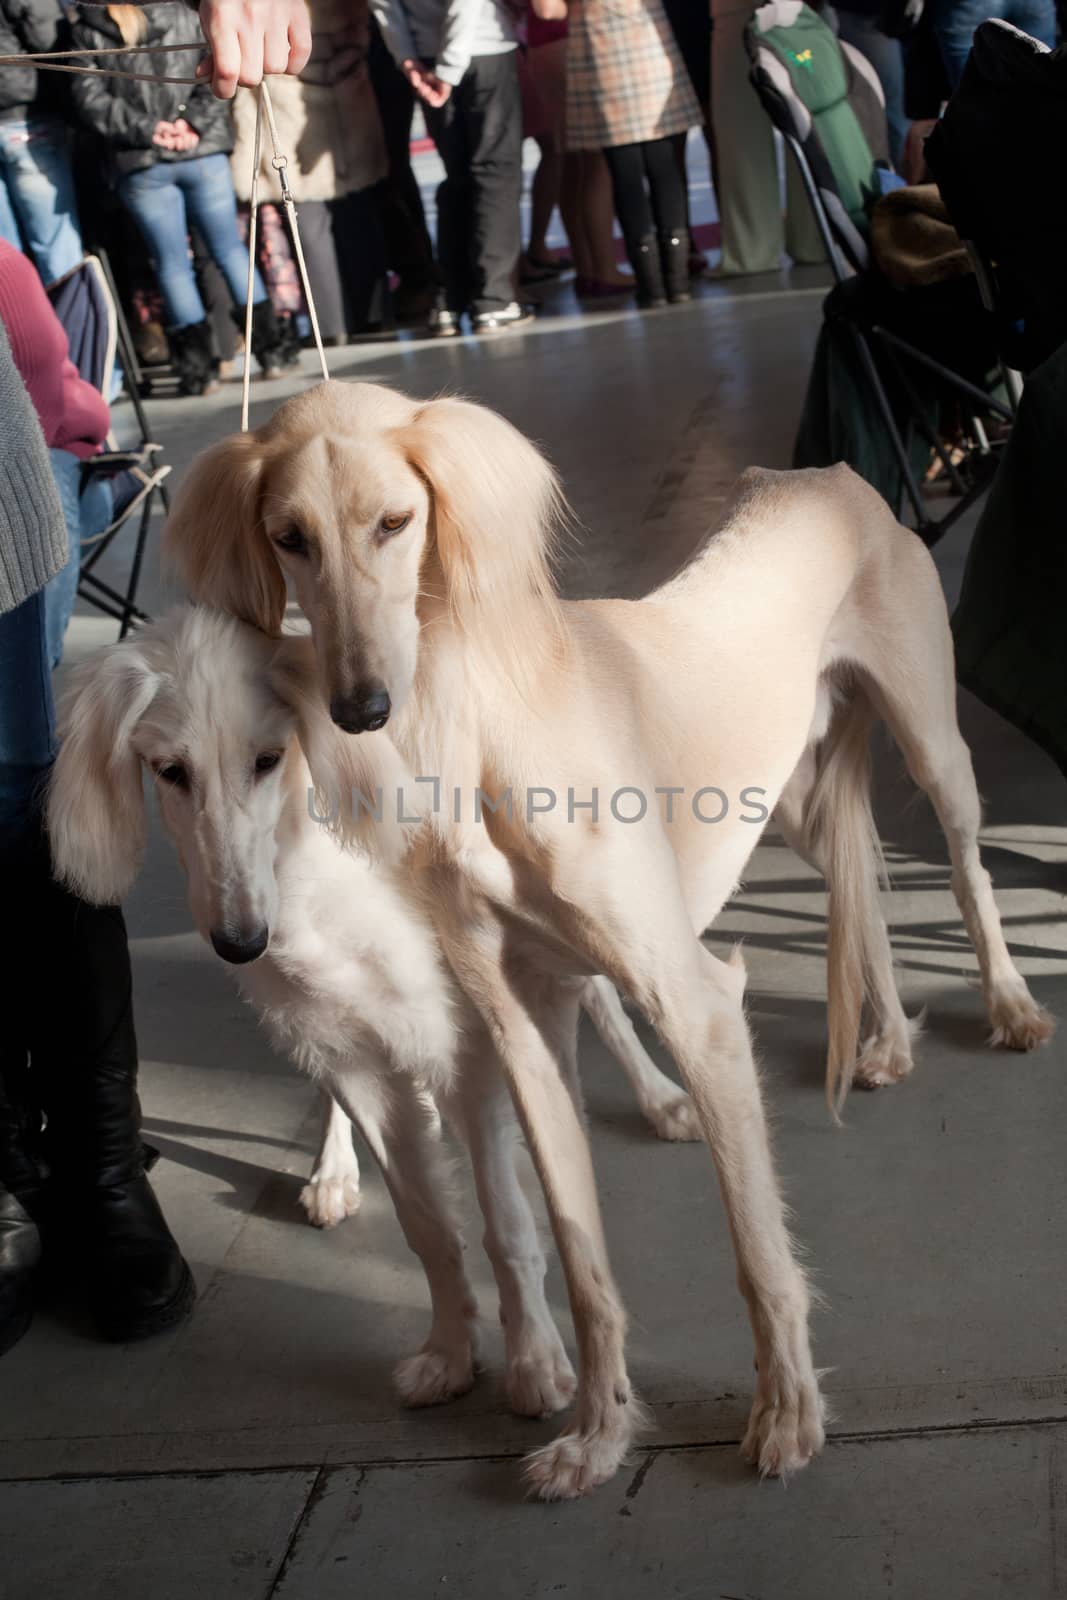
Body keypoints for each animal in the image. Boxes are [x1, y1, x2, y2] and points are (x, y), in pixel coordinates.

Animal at [47, 604, 700, 1420]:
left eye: (269, 759)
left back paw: (660, 1098)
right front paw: (451, 1353)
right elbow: (428, 1226)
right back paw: (334, 1171)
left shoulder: (476, 1045)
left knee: (599, 997)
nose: (240, 943)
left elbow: (507, 1223)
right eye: (169, 771)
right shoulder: (351, 1048)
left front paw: (534, 1363)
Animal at [163, 377, 1055, 1497]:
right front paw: (596, 1432)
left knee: (963, 858)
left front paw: (785, 1413)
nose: (359, 707)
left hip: (929, 738)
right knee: (853, 873)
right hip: (791, 794)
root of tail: (825, 472)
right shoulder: (520, 1025)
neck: (489, 729)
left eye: (395, 523)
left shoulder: (697, 1004)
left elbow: (756, 1249)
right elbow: (576, 1252)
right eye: (289, 538)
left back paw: (1010, 1003)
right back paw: (888, 1035)